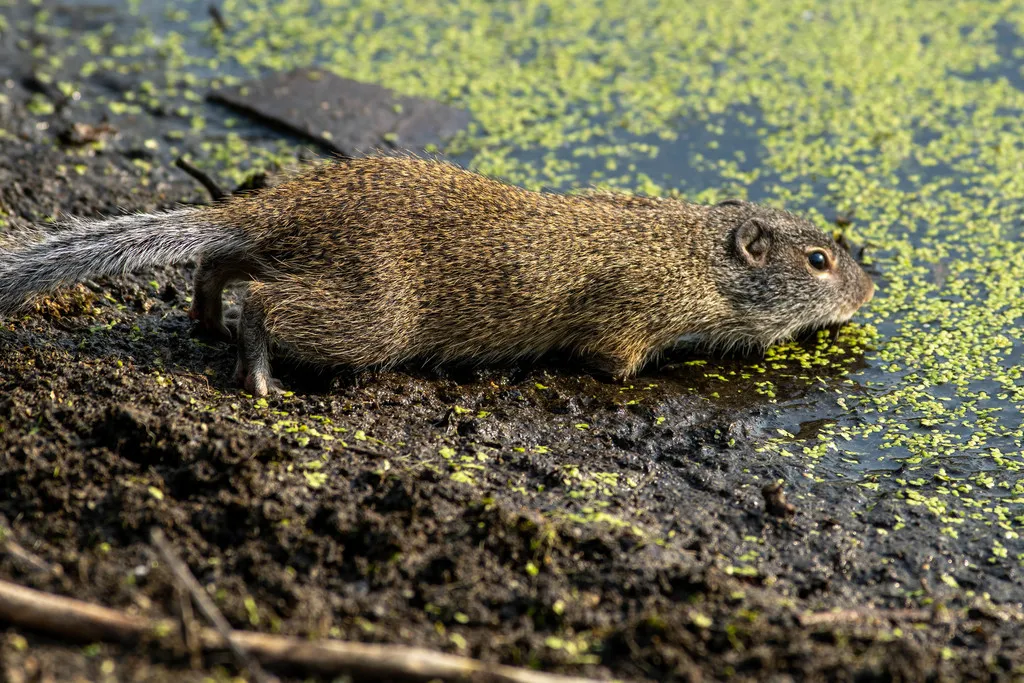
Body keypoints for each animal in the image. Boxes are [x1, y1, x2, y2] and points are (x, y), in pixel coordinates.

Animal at [0, 156, 875, 396]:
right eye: (820, 260)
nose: (872, 290)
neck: (686, 247)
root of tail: (281, 206)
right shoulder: (627, 324)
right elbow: (620, 364)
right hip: (372, 316)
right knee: (268, 304)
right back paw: (258, 374)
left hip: (276, 251)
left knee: (218, 262)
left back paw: (207, 323)